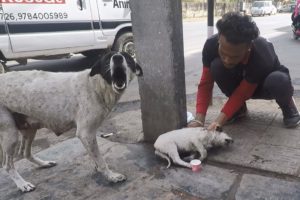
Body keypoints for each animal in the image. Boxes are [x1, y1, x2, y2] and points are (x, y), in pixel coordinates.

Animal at [0, 51, 143, 192]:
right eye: (108, 59)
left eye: (128, 58)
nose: (118, 57)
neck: (95, 85)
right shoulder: (86, 133)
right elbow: (100, 159)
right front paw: (110, 176)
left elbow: (94, 156)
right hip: (10, 134)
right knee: (7, 165)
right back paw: (22, 184)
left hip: (29, 129)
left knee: (25, 153)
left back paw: (43, 164)